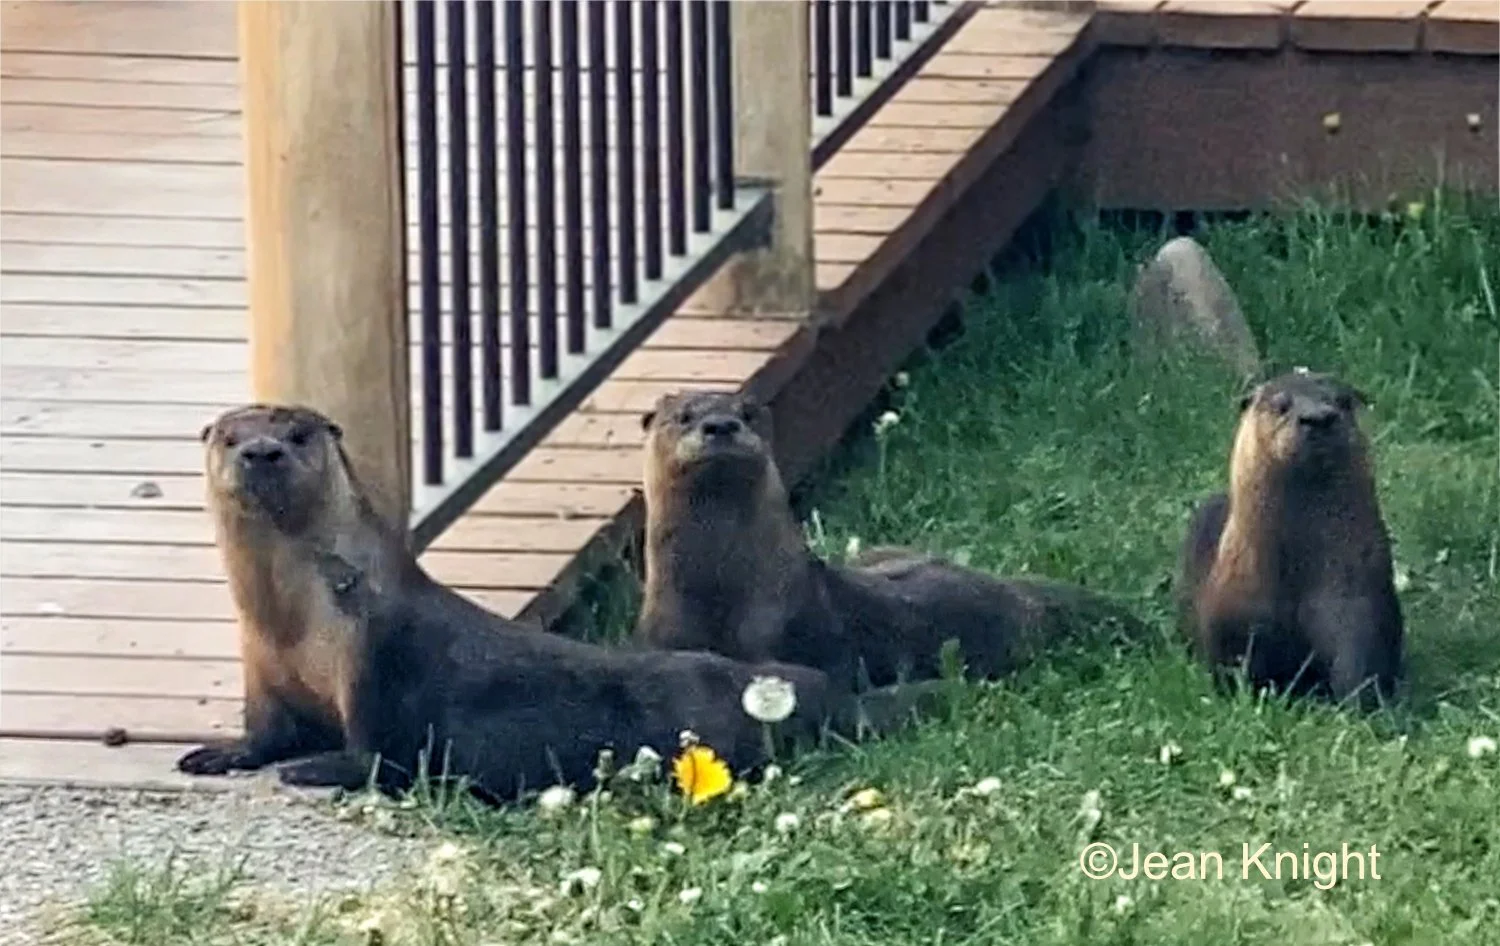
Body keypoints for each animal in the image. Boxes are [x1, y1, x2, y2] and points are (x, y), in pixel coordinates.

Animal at [634, 389, 1145, 690]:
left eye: (748, 412)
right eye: (683, 415)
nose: (720, 425)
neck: (722, 587)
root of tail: (1018, 592)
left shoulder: (782, 630)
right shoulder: (662, 634)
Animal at [1176, 370, 1404, 710]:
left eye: (1342, 400)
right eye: (1280, 405)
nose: (1318, 417)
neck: (1295, 574)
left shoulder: (1358, 601)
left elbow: (1359, 657)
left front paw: (1362, 705)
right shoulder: (1234, 616)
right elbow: (1231, 662)